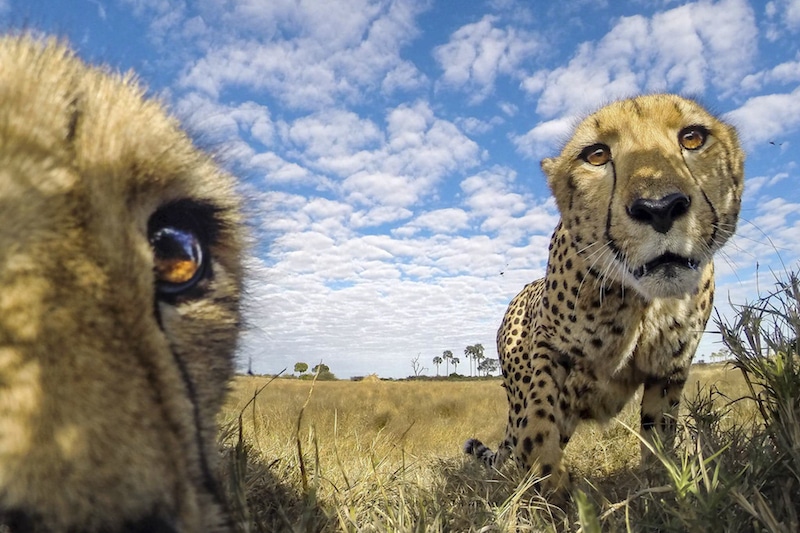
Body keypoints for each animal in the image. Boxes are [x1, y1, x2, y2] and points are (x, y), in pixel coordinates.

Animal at [462, 93, 744, 488]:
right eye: (596, 155)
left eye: (692, 138)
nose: (659, 207)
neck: (641, 301)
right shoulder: (549, 346)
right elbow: (538, 415)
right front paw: (547, 478)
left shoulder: (669, 370)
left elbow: (659, 433)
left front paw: (661, 483)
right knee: (521, 428)